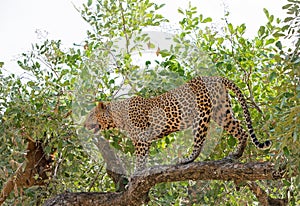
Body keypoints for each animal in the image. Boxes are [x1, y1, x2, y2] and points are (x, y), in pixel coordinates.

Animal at [84, 75, 272, 172]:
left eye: (91, 115)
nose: (84, 125)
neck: (117, 116)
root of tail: (216, 77)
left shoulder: (141, 138)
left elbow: (140, 158)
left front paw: (137, 173)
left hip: (201, 114)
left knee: (199, 141)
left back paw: (187, 159)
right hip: (222, 112)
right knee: (241, 130)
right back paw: (236, 153)